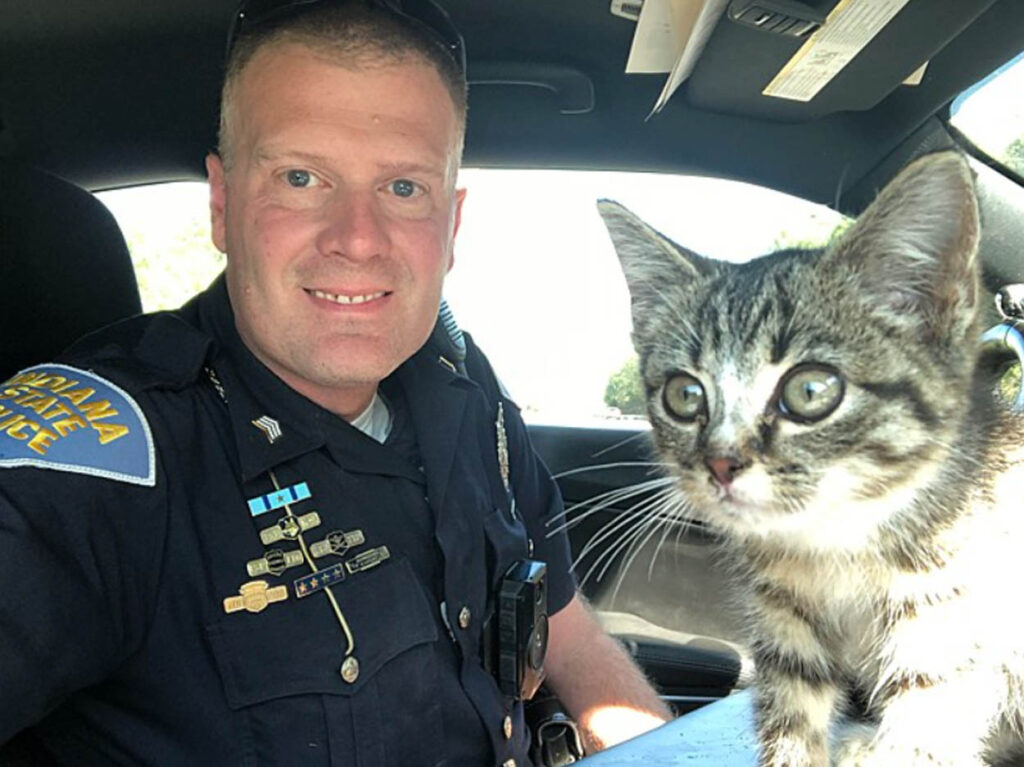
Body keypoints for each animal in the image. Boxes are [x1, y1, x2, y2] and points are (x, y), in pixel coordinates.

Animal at [598, 151, 1024, 765]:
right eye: (685, 394)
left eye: (810, 390)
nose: (721, 463)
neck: (836, 543)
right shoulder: (784, 632)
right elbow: (793, 726)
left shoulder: (945, 628)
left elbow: (924, 738)